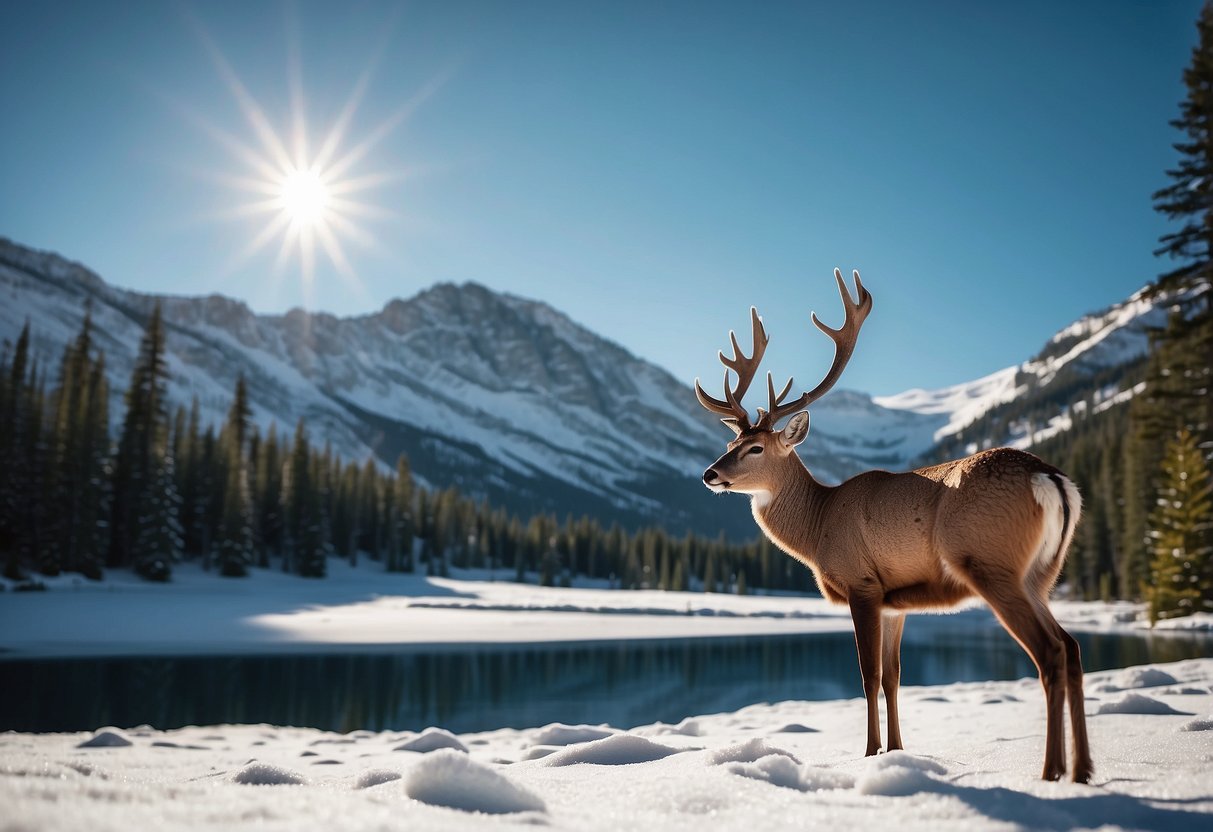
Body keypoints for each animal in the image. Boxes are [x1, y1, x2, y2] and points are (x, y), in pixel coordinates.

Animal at [698, 270, 1096, 785]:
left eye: (756, 449)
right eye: (731, 442)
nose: (710, 473)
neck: (819, 524)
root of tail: (1050, 478)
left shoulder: (862, 583)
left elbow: (867, 674)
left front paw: (869, 753)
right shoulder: (896, 601)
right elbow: (893, 677)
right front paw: (898, 751)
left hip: (993, 564)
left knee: (1049, 653)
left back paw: (1050, 772)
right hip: (1041, 575)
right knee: (1072, 647)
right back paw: (1082, 769)